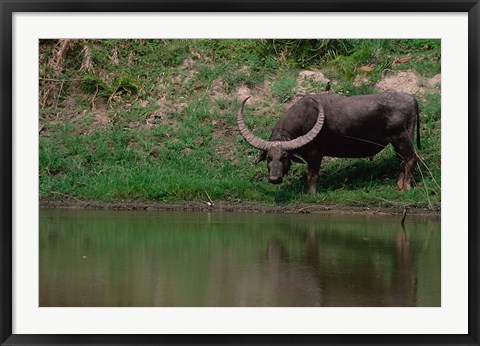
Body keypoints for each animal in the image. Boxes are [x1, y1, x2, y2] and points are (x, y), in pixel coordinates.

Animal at [236, 90, 420, 195]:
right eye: (269, 157)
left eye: (285, 156)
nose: (274, 179)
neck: (305, 118)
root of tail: (412, 97)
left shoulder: (315, 155)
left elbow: (312, 175)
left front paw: (311, 194)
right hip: (396, 143)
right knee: (402, 162)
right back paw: (398, 186)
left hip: (402, 138)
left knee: (411, 159)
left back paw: (406, 187)